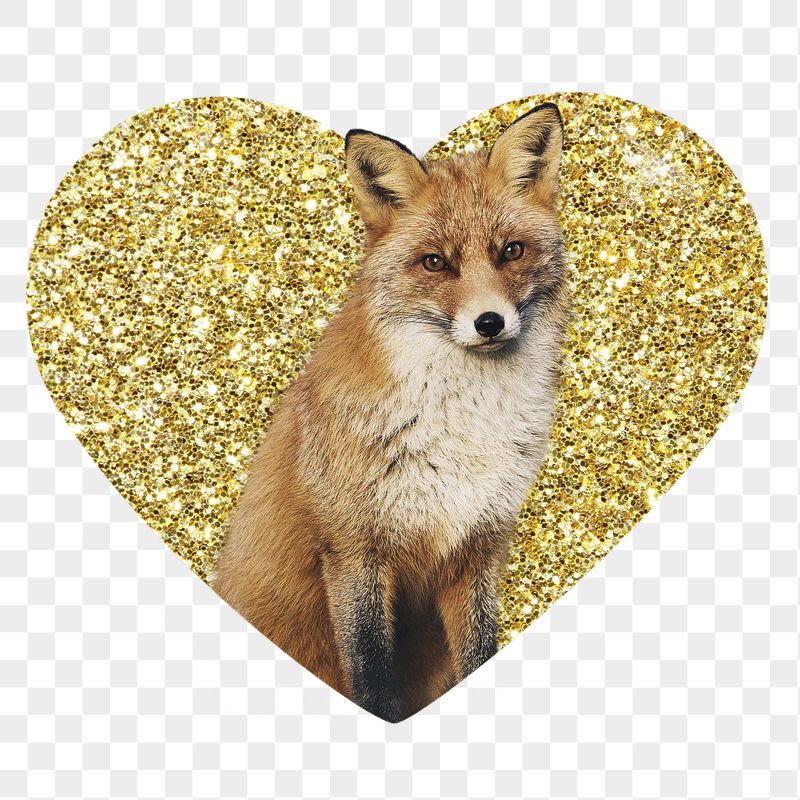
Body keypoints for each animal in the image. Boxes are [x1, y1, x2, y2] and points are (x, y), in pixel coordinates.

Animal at [210, 102, 569, 722]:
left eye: (511, 251)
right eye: (435, 263)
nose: (490, 323)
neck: (462, 429)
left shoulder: (478, 549)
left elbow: (479, 654)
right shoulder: (354, 553)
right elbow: (374, 682)